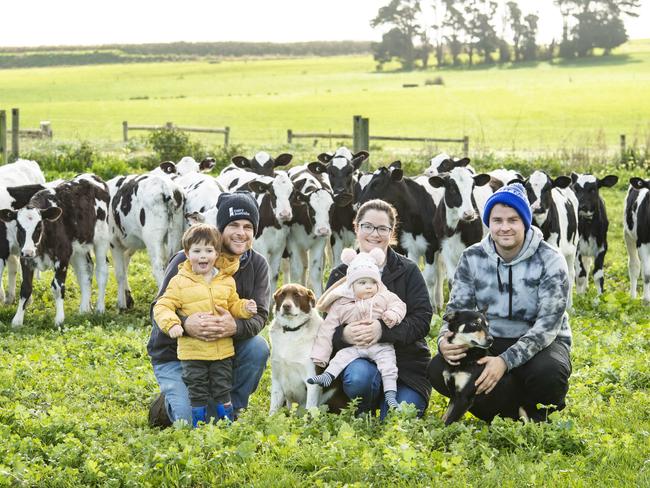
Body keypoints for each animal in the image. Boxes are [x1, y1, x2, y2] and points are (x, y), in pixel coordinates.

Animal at [0, 174, 109, 328]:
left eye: (39, 226)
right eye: (19, 227)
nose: (28, 252)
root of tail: (92, 176)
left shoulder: (62, 257)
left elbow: (57, 287)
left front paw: (59, 319)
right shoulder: (26, 259)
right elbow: (25, 288)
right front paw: (17, 320)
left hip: (101, 239)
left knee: (101, 272)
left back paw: (100, 308)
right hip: (78, 249)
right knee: (85, 272)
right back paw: (84, 310)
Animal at [109, 173, 185, 306]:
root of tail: (165, 186)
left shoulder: (114, 242)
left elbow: (119, 273)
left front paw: (121, 304)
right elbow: (124, 265)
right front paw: (128, 298)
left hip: (152, 237)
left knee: (158, 267)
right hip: (175, 230)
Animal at [270, 284, 332, 414]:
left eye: (297, 295)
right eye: (282, 295)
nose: (286, 306)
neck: (292, 332)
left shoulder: (312, 380)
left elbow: (309, 410)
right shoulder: (277, 380)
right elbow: (273, 410)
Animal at [520, 172, 576, 306]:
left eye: (548, 188)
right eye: (528, 188)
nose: (537, 207)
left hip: (573, 248)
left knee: (571, 274)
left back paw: (570, 306)